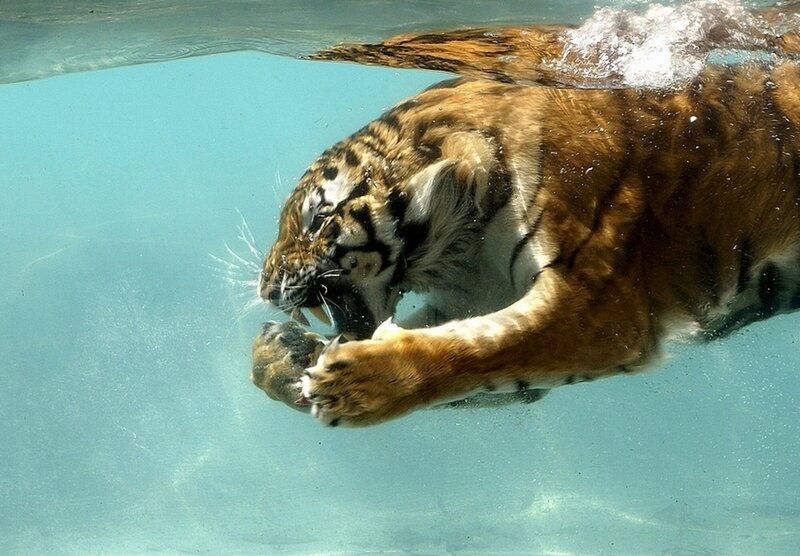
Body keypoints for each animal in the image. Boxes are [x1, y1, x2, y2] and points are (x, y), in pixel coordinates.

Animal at [250, 61, 800, 427]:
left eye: (318, 218)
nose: (265, 288)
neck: (465, 237)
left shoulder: (598, 310)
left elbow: (481, 347)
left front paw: (354, 385)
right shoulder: (479, 293)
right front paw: (279, 358)